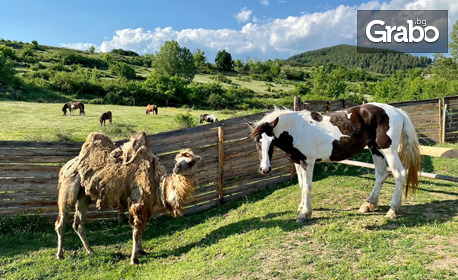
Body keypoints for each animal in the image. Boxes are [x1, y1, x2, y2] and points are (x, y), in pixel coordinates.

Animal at [55, 132, 200, 264]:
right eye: (176, 160)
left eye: (191, 162)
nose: (177, 167)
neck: (158, 181)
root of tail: (64, 168)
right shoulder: (138, 201)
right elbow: (137, 230)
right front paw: (134, 259)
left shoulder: (146, 205)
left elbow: (140, 226)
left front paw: (141, 251)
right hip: (68, 190)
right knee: (61, 222)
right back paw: (60, 255)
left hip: (84, 196)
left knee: (78, 223)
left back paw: (90, 251)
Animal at [249, 103, 420, 223]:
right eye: (256, 141)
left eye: (272, 140)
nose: (265, 169)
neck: (297, 129)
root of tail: (397, 111)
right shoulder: (297, 162)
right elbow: (301, 184)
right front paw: (302, 206)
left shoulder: (307, 162)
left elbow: (307, 187)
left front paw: (305, 213)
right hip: (375, 149)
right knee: (381, 175)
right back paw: (368, 205)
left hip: (388, 150)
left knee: (400, 174)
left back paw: (393, 211)